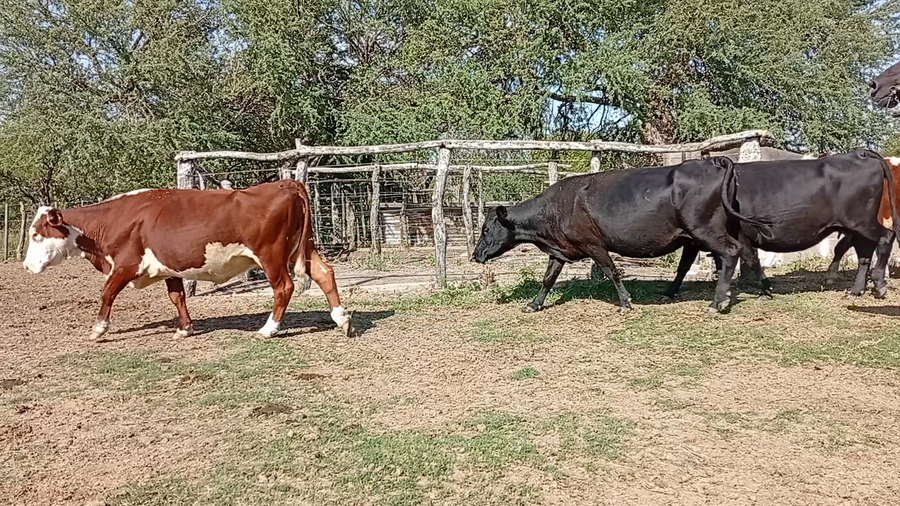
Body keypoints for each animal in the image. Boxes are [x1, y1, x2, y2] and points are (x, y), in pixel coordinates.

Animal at [22, 180, 354, 340]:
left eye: (36, 234)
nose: (26, 266)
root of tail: (284, 182)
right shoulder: (168, 266)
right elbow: (177, 296)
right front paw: (184, 328)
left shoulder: (126, 264)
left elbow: (106, 293)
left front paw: (98, 329)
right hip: (302, 247)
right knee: (324, 273)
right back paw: (342, 320)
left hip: (271, 254)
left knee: (284, 287)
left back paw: (268, 329)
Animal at [472, 156, 772, 313]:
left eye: (486, 229)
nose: (476, 255)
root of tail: (713, 161)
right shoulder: (561, 250)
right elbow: (548, 279)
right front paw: (533, 304)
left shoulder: (593, 244)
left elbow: (612, 271)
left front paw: (625, 303)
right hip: (700, 233)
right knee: (730, 256)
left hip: (705, 228)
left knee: (731, 253)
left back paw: (718, 302)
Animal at [712, 150, 900, 300]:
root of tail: (859, 153)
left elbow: (746, 258)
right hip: (856, 226)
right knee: (863, 253)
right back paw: (856, 290)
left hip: (861, 221)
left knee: (886, 237)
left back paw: (879, 285)